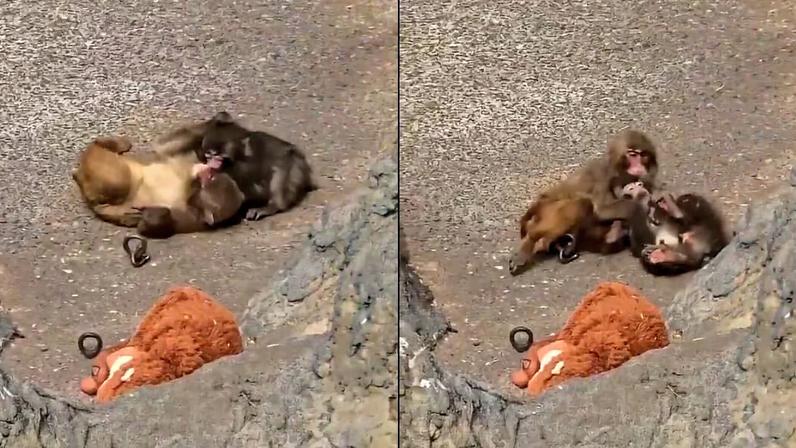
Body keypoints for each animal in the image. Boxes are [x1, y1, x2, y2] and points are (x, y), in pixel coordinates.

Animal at [508, 130, 659, 275]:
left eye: (643, 155)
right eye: (632, 154)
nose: (639, 166)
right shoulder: (602, 175)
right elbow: (602, 210)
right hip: (547, 208)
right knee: (582, 203)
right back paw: (530, 242)